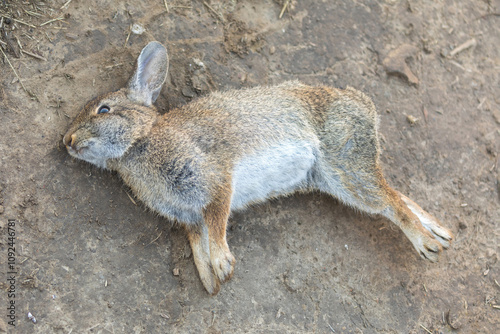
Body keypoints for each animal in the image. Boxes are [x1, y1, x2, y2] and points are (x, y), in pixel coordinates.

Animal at [62, 41, 454, 294]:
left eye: (104, 110)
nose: (66, 140)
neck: (139, 141)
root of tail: (364, 106)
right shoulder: (188, 215)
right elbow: (197, 242)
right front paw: (209, 281)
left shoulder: (215, 179)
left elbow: (217, 223)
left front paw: (222, 263)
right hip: (338, 180)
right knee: (394, 194)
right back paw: (441, 232)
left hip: (346, 168)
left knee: (390, 201)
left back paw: (427, 244)